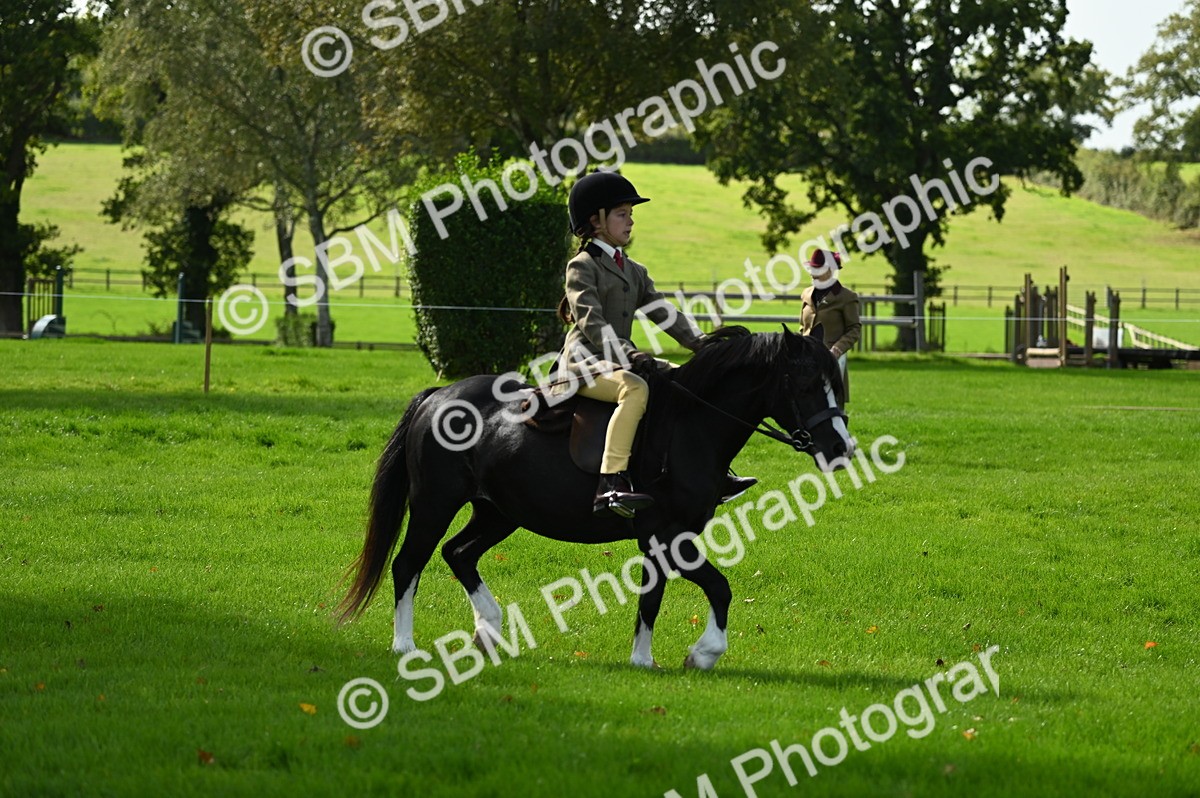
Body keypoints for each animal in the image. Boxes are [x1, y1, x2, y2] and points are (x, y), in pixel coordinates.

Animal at [337, 324, 854, 670]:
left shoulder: (667, 537)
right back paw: (406, 646)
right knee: (409, 563)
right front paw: (701, 654)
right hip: (435, 504)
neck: (691, 425)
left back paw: (490, 630)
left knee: (458, 553)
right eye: (807, 385)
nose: (841, 449)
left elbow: (654, 596)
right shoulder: (666, 535)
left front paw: (644, 659)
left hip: (499, 512)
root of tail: (440, 394)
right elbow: (715, 587)